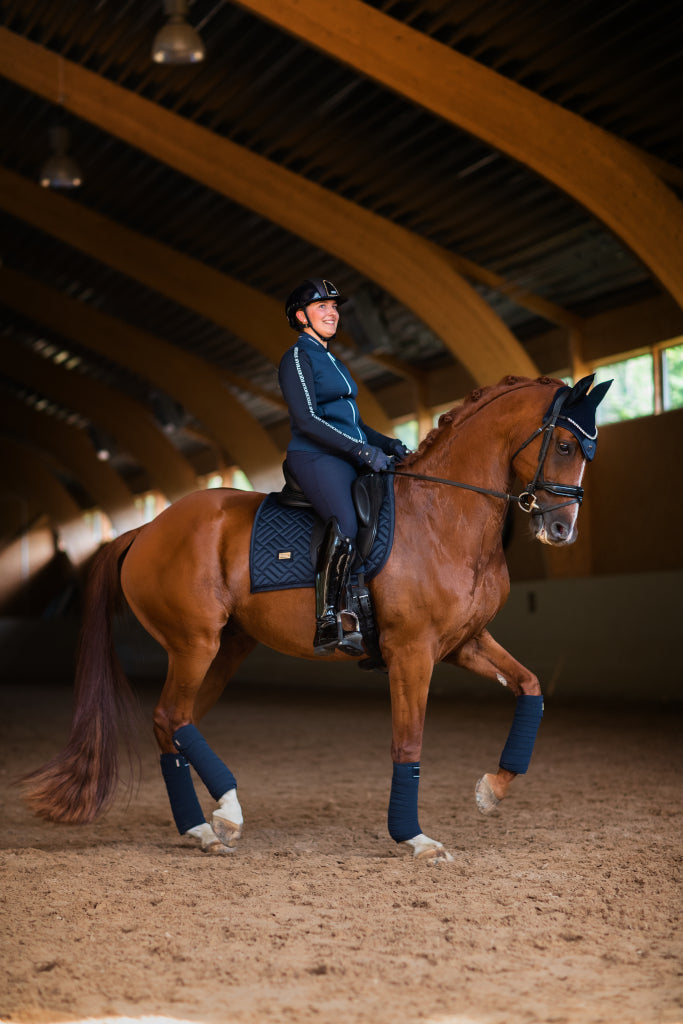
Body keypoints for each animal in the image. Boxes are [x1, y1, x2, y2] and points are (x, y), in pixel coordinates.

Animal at [22, 372, 610, 860]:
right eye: (563, 444)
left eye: (588, 450)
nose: (563, 531)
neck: (442, 515)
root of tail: (145, 529)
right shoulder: (411, 651)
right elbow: (408, 741)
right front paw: (414, 838)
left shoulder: (463, 642)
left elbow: (530, 687)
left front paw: (491, 789)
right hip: (195, 644)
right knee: (170, 717)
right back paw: (226, 812)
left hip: (225, 649)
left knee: (175, 724)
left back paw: (204, 828)